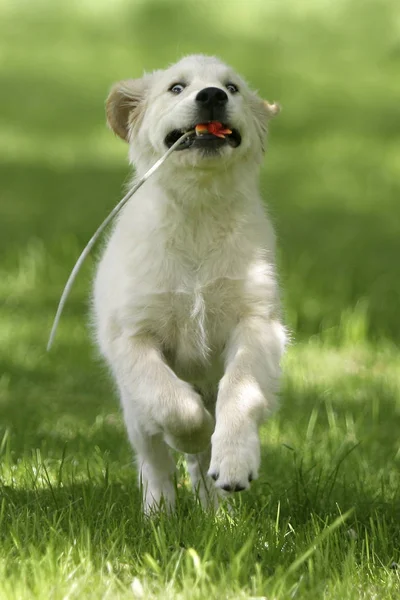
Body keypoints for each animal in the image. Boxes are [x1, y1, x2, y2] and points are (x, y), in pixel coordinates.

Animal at [93, 55, 288, 510]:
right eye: (177, 88)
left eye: (232, 88)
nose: (212, 96)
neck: (198, 210)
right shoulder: (132, 336)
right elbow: (173, 404)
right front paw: (196, 433)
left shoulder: (256, 323)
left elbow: (241, 389)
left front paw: (233, 462)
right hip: (132, 410)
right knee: (153, 458)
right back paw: (159, 511)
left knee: (201, 470)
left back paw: (220, 510)